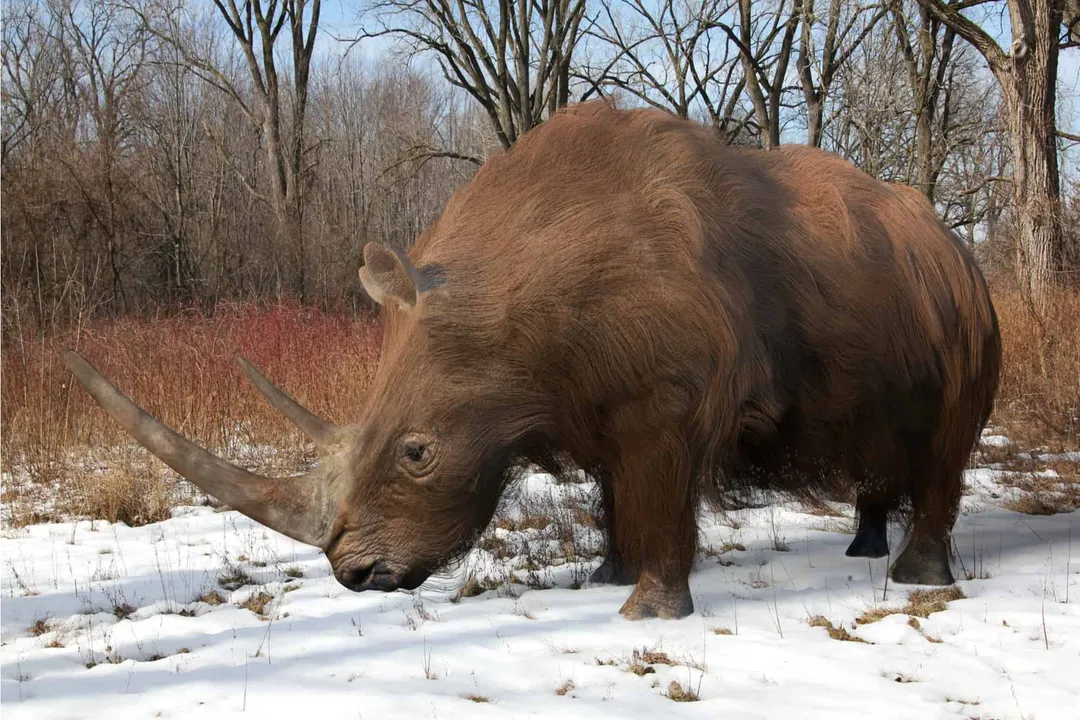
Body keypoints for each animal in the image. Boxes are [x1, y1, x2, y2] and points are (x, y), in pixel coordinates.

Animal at [65, 100, 1001, 620]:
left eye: (417, 453)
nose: (356, 576)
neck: (505, 296)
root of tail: (957, 244)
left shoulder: (669, 399)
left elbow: (661, 496)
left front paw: (645, 613)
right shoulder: (588, 397)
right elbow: (617, 495)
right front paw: (602, 576)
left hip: (971, 309)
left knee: (948, 437)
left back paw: (915, 582)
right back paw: (862, 554)